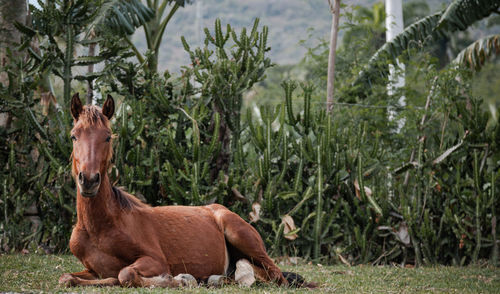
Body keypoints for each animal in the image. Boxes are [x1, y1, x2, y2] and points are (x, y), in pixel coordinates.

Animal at [58, 94, 308, 290]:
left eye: (108, 136)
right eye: (74, 135)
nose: (89, 180)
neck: (101, 227)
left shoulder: (156, 260)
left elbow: (124, 274)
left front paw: (180, 279)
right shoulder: (91, 270)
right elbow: (68, 278)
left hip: (241, 236)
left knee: (276, 276)